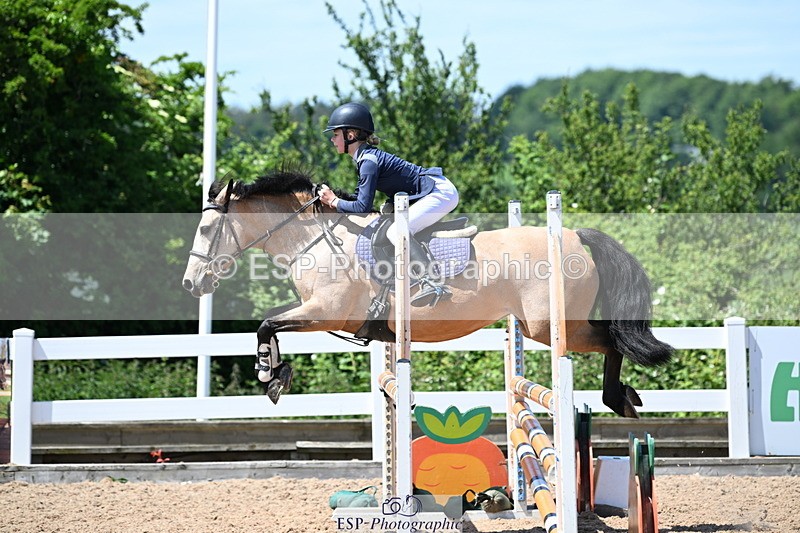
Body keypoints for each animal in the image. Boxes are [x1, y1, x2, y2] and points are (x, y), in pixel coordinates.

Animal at [182, 168, 673, 418]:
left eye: (207, 229)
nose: (192, 284)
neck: (316, 239)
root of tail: (571, 235)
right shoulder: (319, 312)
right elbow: (268, 324)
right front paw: (276, 375)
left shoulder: (324, 311)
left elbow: (267, 323)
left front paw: (270, 375)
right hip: (538, 325)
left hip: (548, 325)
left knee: (611, 339)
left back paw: (617, 399)